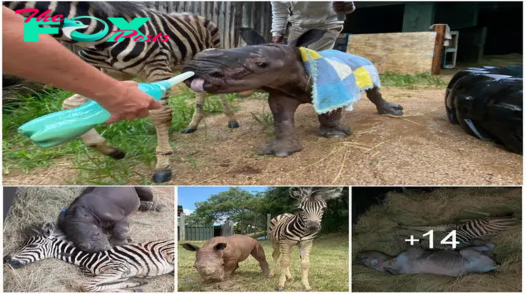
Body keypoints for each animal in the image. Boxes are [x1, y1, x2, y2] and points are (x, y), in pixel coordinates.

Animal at [2, 1, 239, 183]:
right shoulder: (105, 73)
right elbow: (69, 104)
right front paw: (109, 149)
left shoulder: (157, 69)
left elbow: (161, 115)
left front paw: (163, 164)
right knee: (200, 92)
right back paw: (193, 124)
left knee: (218, 92)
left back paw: (231, 120)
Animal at [4, 223, 174, 292]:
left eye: (32, 246)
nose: (5, 259)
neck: (84, 258)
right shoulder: (120, 273)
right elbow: (113, 283)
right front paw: (134, 284)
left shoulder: (118, 268)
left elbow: (86, 286)